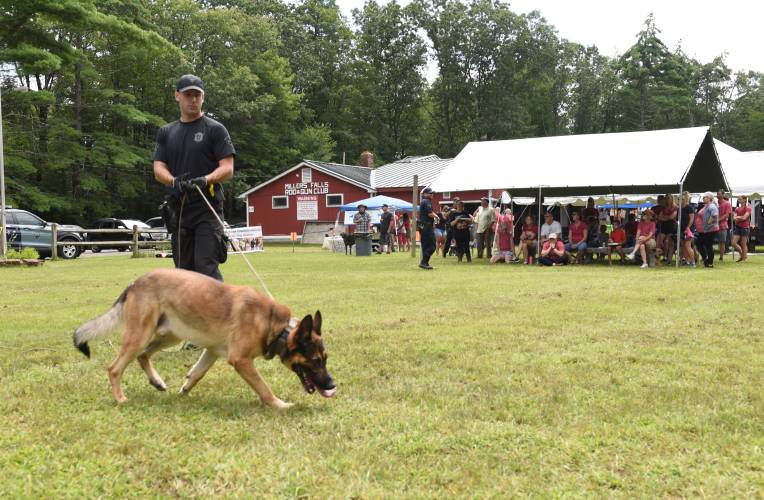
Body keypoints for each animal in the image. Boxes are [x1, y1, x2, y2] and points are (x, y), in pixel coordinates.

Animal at [74, 268, 334, 408]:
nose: (332, 386)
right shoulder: (240, 360)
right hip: (139, 335)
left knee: (143, 356)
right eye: (315, 361)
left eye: (325, 359)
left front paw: (185, 389)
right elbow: (263, 387)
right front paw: (280, 405)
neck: (276, 327)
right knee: (114, 368)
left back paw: (157, 381)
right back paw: (120, 399)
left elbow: (197, 374)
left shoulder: (212, 352)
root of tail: (135, 283)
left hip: (169, 336)